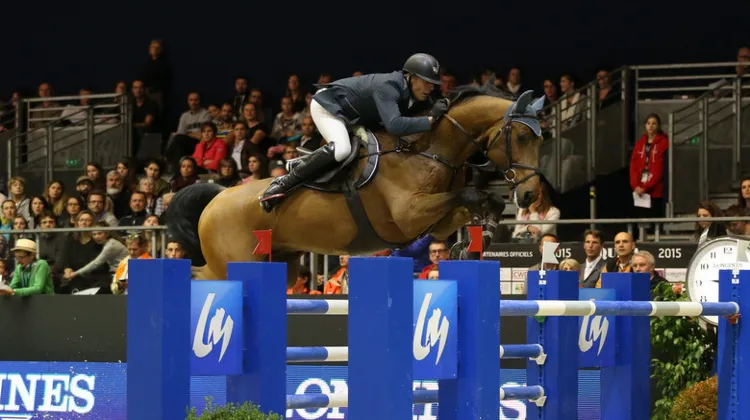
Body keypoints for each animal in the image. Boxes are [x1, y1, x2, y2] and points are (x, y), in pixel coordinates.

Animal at [167, 82, 546, 287]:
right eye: (522, 136)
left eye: (542, 139)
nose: (530, 194)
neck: (430, 148)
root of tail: (217, 198)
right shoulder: (410, 214)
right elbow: (468, 193)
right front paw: (472, 242)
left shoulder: (435, 223)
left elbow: (480, 201)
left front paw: (475, 241)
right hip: (232, 262)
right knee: (201, 276)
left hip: (279, 264)